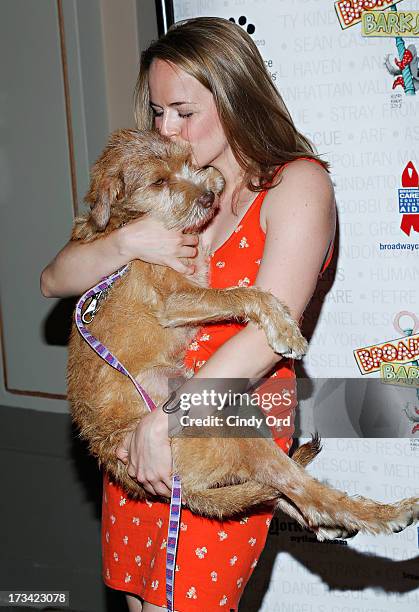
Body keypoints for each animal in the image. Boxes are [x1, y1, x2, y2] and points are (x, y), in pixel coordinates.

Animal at [67, 129, 418, 540]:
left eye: (186, 160)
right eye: (158, 182)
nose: (207, 196)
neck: (134, 220)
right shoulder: (176, 298)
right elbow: (244, 293)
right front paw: (286, 329)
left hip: (239, 411)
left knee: (279, 490)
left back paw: (328, 526)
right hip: (232, 434)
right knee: (303, 490)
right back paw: (386, 514)